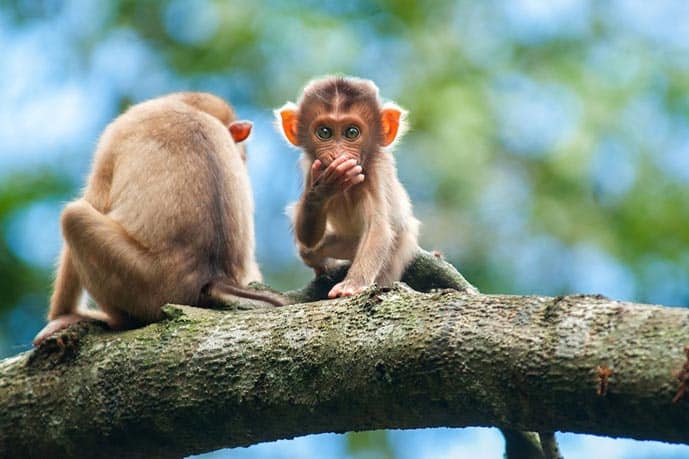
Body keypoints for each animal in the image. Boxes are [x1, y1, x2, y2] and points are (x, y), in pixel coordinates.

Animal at [33, 92, 282, 344]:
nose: (243, 159)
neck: (190, 107)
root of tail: (214, 276)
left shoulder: (118, 130)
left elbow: (95, 199)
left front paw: (60, 317)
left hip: (145, 284)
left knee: (74, 216)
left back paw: (109, 319)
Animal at [276, 75, 416, 298]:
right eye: (325, 132)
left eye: (351, 132)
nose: (337, 155)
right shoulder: (311, 169)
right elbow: (307, 237)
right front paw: (324, 189)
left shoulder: (374, 174)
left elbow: (378, 229)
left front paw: (352, 284)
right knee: (308, 250)